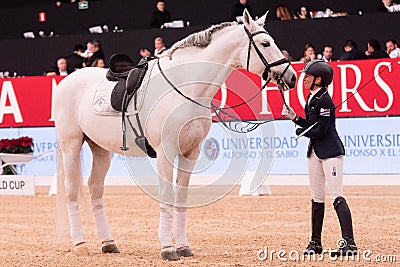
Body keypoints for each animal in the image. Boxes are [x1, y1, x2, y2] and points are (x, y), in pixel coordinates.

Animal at [54, 10, 296, 262]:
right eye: (265, 43)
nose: (291, 77)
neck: (186, 90)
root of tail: (68, 80)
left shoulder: (190, 153)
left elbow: (180, 197)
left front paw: (182, 246)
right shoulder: (166, 152)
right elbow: (167, 194)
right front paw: (167, 248)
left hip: (100, 150)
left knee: (95, 188)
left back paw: (108, 242)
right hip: (71, 145)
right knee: (71, 191)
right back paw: (80, 244)